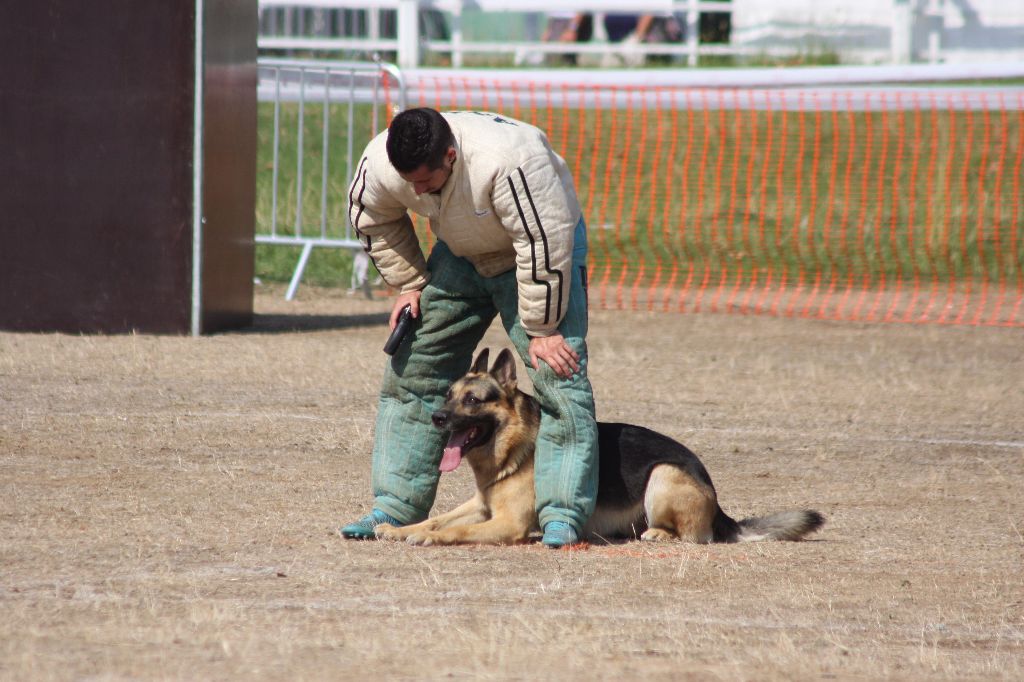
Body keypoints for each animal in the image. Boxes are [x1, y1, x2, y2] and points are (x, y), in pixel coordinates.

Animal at [376, 348, 823, 544]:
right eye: (449, 396)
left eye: (472, 400)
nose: (437, 418)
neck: (516, 446)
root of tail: (718, 502)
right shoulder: (482, 505)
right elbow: (437, 518)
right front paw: (398, 528)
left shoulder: (506, 523)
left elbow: (459, 529)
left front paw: (429, 538)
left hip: (662, 476)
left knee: (695, 537)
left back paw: (659, 535)